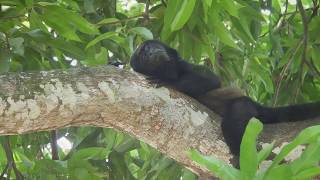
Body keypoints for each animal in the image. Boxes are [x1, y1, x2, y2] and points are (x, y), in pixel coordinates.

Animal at [129, 40, 320, 158]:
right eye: (143, 55)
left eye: (150, 46)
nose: (150, 52)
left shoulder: (183, 65)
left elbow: (211, 80)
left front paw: (168, 82)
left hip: (245, 105)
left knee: (233, 119)